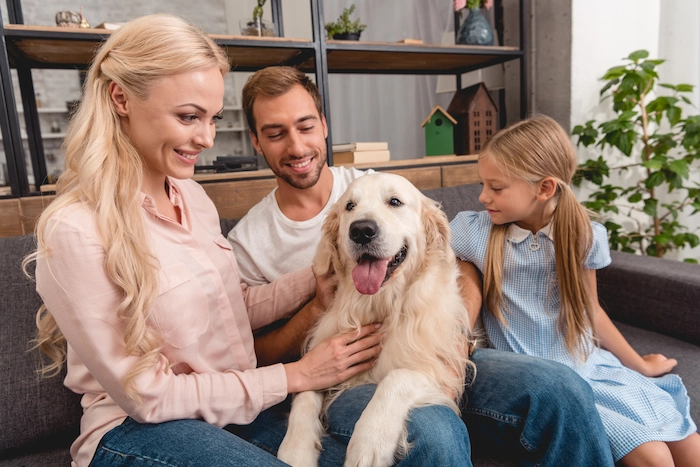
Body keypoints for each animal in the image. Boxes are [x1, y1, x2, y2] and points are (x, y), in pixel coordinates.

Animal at [278, 174, 470, 466]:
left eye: (395, 202)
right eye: (350, 206)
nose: (361, 230)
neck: (380, 304)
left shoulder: (442, 368)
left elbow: (397, 377)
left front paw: (370, 441)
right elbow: (306, 391)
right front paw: (295, 448)